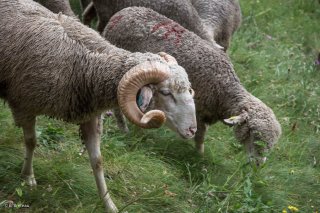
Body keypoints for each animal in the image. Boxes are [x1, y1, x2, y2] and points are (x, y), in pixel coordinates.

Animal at [0, 1, 196, 211]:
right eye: (166, 92)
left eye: (188, 89)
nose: (192, 130)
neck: (86, 67)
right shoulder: (24, 105)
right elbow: (31, 141)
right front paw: (28, 177)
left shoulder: (91, 117)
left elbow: (98, 162)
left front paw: (109, 204)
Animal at [104, 7, 282, 165]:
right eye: (253, 133)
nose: (259, 164)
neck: (224, 89)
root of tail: (124, 12)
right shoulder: (200, 112)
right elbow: (200, 137)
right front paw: (199, 156)